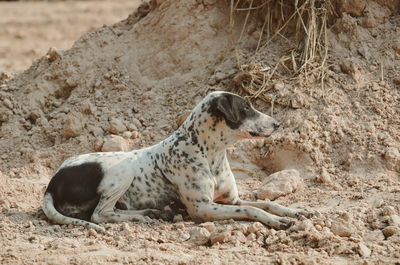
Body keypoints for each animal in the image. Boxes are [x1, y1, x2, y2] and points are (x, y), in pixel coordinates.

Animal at [41, 91, 310, 231]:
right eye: (246, 107)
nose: (278, 124)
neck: (210, 154)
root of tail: (51, 185)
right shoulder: (203, 208)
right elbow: (252, 209)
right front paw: (276, 221)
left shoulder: (230, 200)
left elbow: (266, 203)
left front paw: (294, 211)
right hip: (123, 170)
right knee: (99, 214)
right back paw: (142, 216)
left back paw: (152, 212)